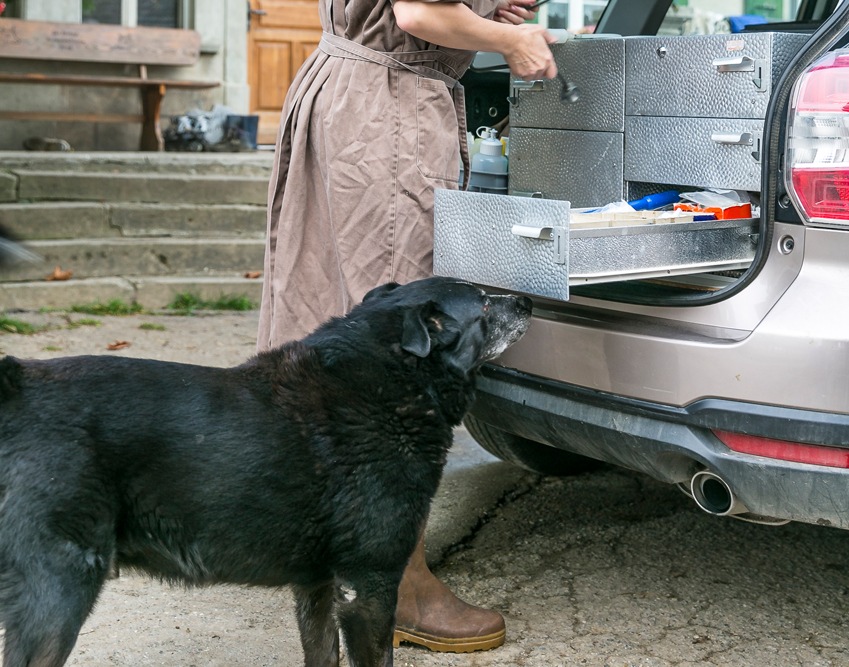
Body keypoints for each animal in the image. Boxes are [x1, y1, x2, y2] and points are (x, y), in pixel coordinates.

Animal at [0, 276, 528, 667]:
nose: (525, 300)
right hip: (58, 592)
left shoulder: (317, 587)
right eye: (484, 303)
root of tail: (16, 387)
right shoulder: (368, 586)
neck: (391, 380)